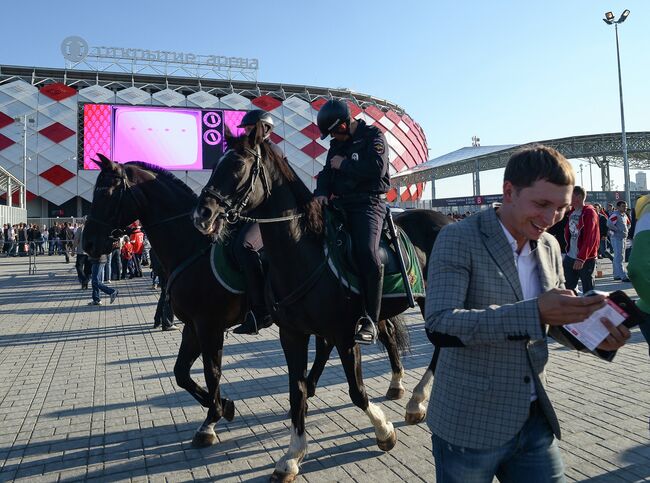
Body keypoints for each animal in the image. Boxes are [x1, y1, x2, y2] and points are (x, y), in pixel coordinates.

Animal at [82, 154, 416, 450]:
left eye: (106, 193)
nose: (88, 244)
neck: (193, 246)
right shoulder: (193, 326)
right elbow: (181, 374)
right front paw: (224, 407)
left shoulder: (209, 325)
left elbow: (211, 371)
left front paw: (213, 419)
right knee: (334, 343)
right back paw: (316, 387)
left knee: (379, 335)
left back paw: (393, 385)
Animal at [190, 126, 448, 482]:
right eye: (215, 165)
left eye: (238, 166)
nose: (202, 214)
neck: (303, 253)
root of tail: (445, 219)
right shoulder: (292, 334)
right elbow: (296, 391)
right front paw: (292, 456)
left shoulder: (345, 334)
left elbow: (357, 391)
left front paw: (384, 431)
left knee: (437, 345)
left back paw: (416, 402)